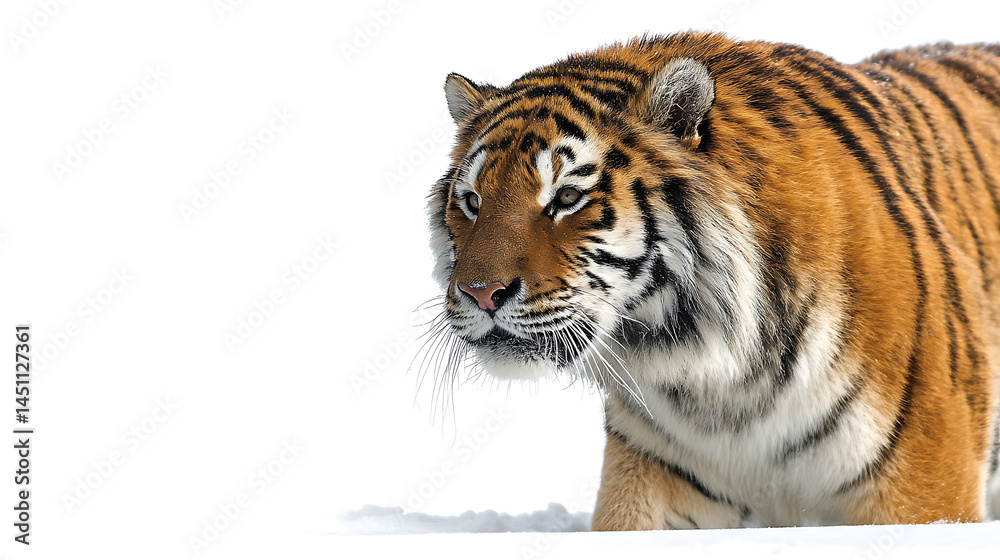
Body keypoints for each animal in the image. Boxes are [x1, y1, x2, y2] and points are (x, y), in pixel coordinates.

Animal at [424, 32, 1000, 529]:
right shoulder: (658, 468)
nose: (480, 293)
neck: (720, 379)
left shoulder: (919, 484)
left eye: (567, 197)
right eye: (472, 202)